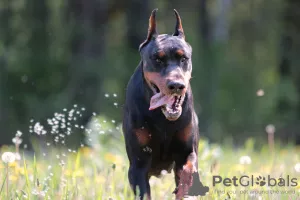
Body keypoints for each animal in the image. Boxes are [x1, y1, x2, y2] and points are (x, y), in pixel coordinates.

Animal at [123, 8, 207, 199]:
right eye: (157, 59)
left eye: (184, 58)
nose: (176, 85)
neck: (162, 117)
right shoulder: (138, 165)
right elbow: (143, 191)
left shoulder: (187, 151)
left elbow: (188, 168)